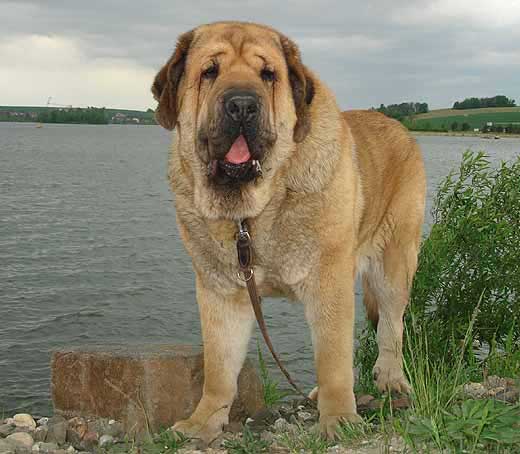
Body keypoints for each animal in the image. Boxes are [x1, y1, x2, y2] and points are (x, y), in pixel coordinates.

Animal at [151, 20, 426, 440]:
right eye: (209, 71)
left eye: (268, 75)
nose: (242, 105)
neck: (251, 214)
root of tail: (401, 128)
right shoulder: (220, 292)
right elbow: (218, 368)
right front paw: (203, 422)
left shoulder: (329, 282)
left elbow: (332, 357)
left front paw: (338, 419)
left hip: (394, 265)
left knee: (392, 328)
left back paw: (391, 380)